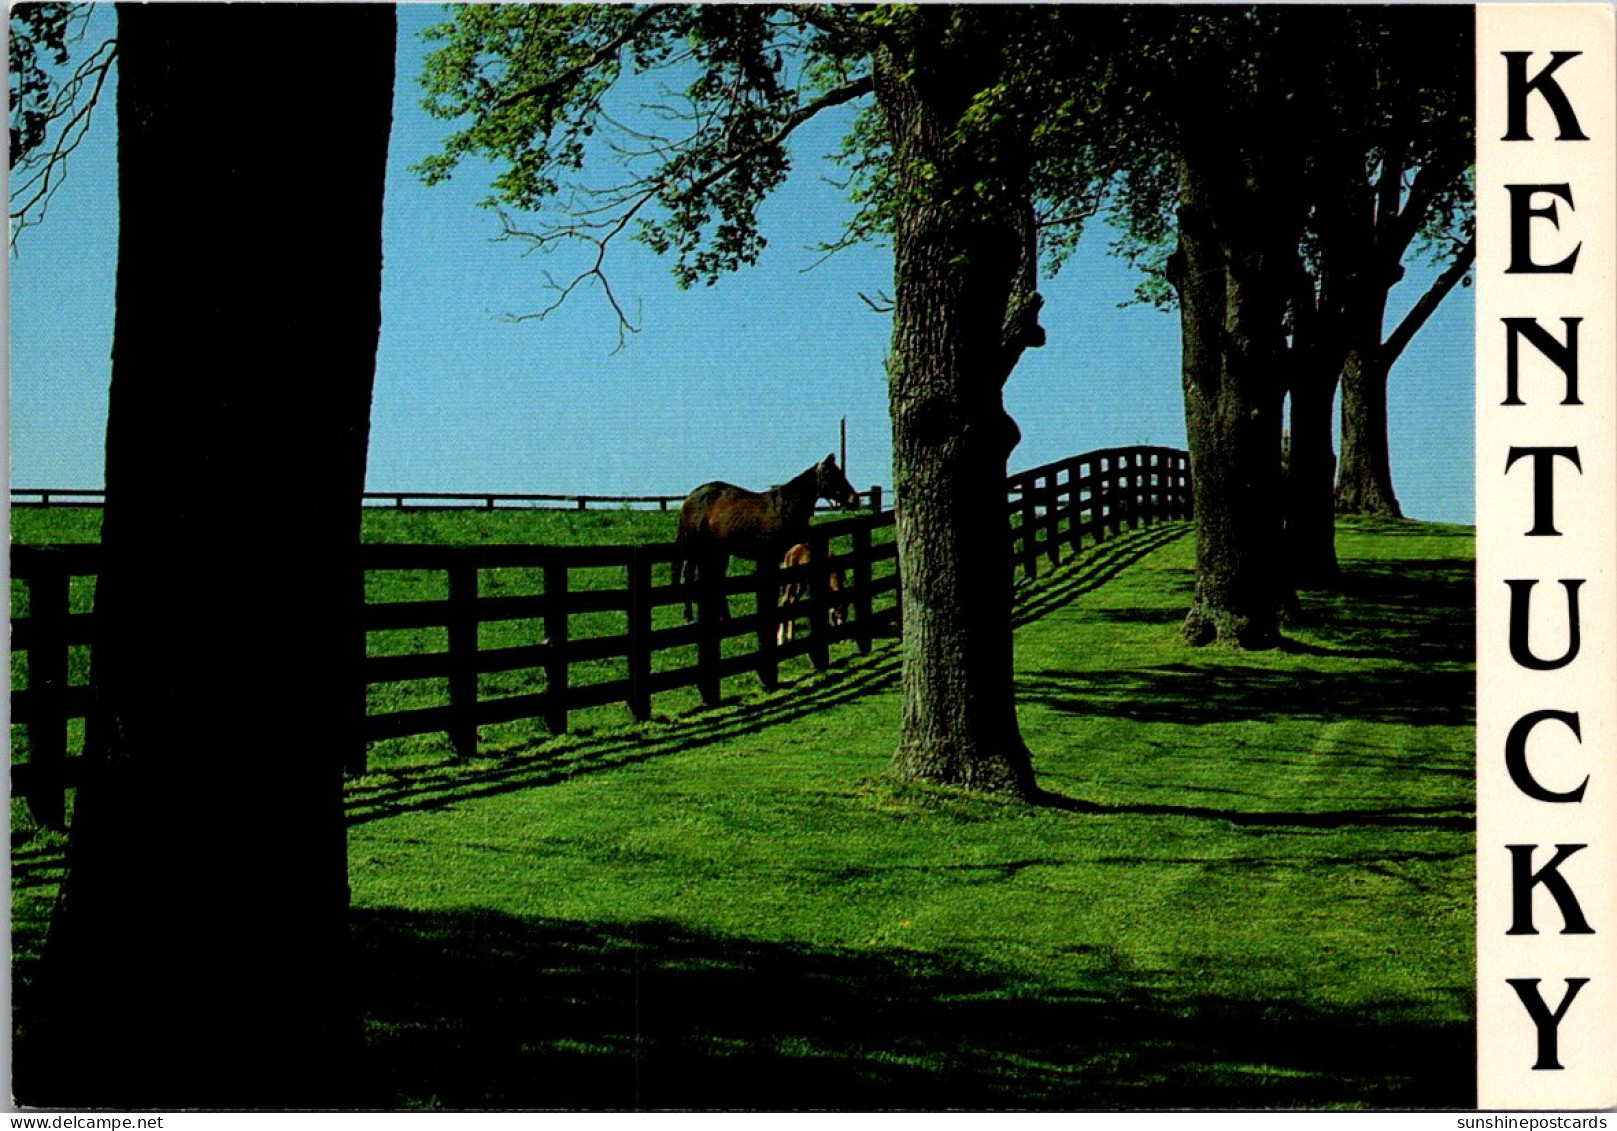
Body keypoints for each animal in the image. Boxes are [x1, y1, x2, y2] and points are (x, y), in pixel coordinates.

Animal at [672, 456, 860, 624]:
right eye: (831, 475)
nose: (855, 499)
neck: (785, 508)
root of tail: (691, 497)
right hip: (696, 549)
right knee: (689, 576)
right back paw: (689, 616)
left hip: (718, 553)